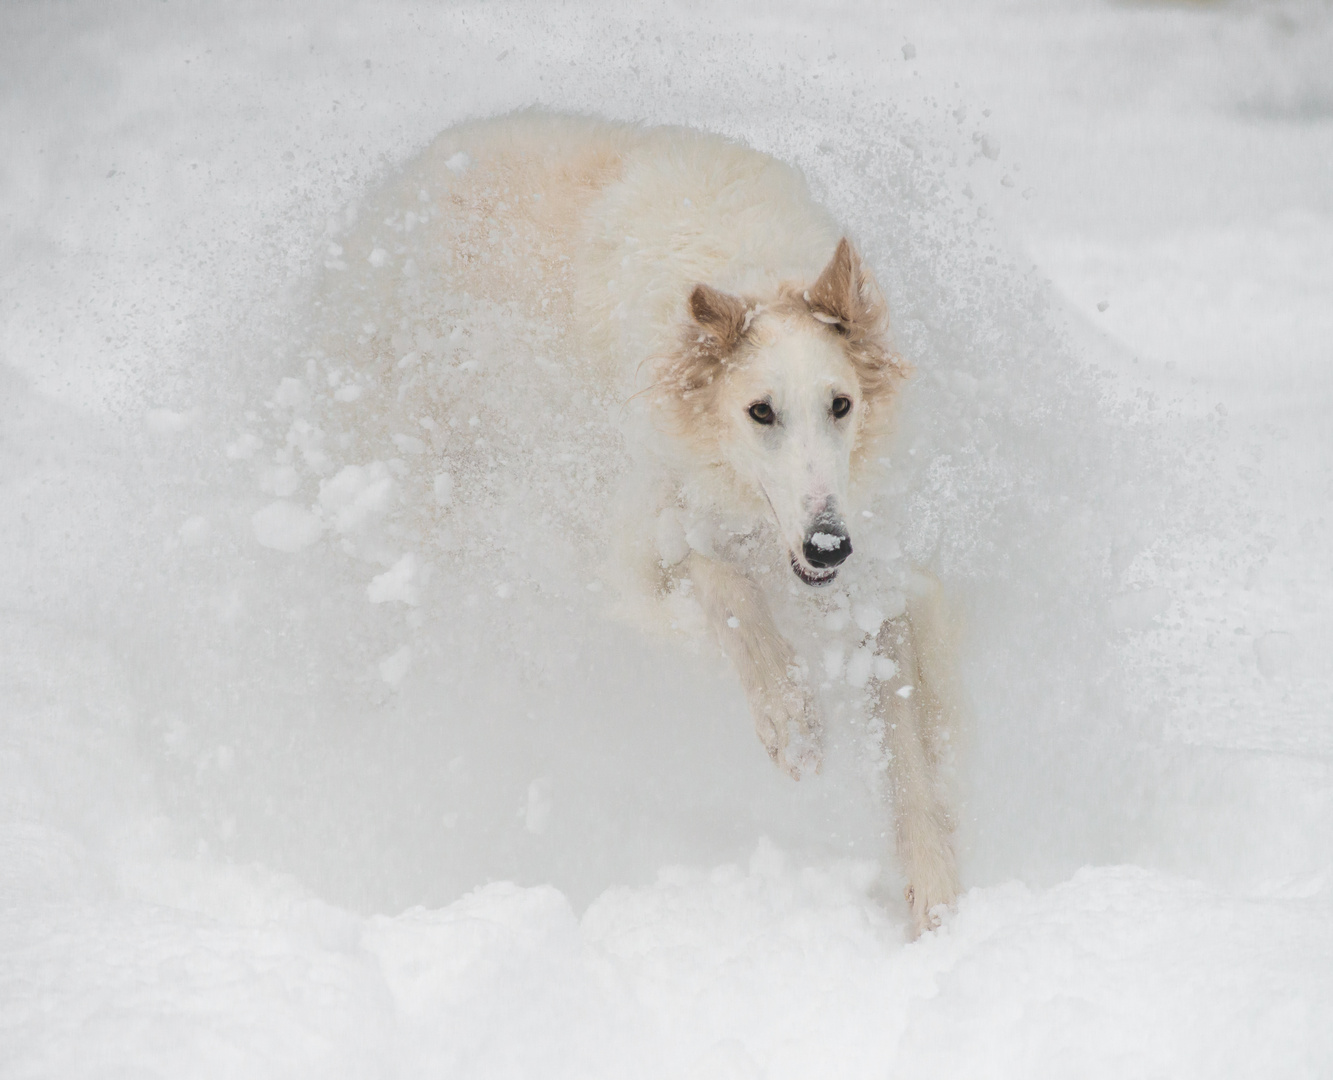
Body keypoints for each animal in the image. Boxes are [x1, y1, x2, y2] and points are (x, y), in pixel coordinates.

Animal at [357, 113, 959, 928]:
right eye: (760, 411)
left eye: (841, 404)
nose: (828, 546)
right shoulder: (638, 530)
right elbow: (721, 585)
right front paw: (791, 719)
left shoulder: (880, 570)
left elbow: (906, 734)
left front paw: (933, 885)